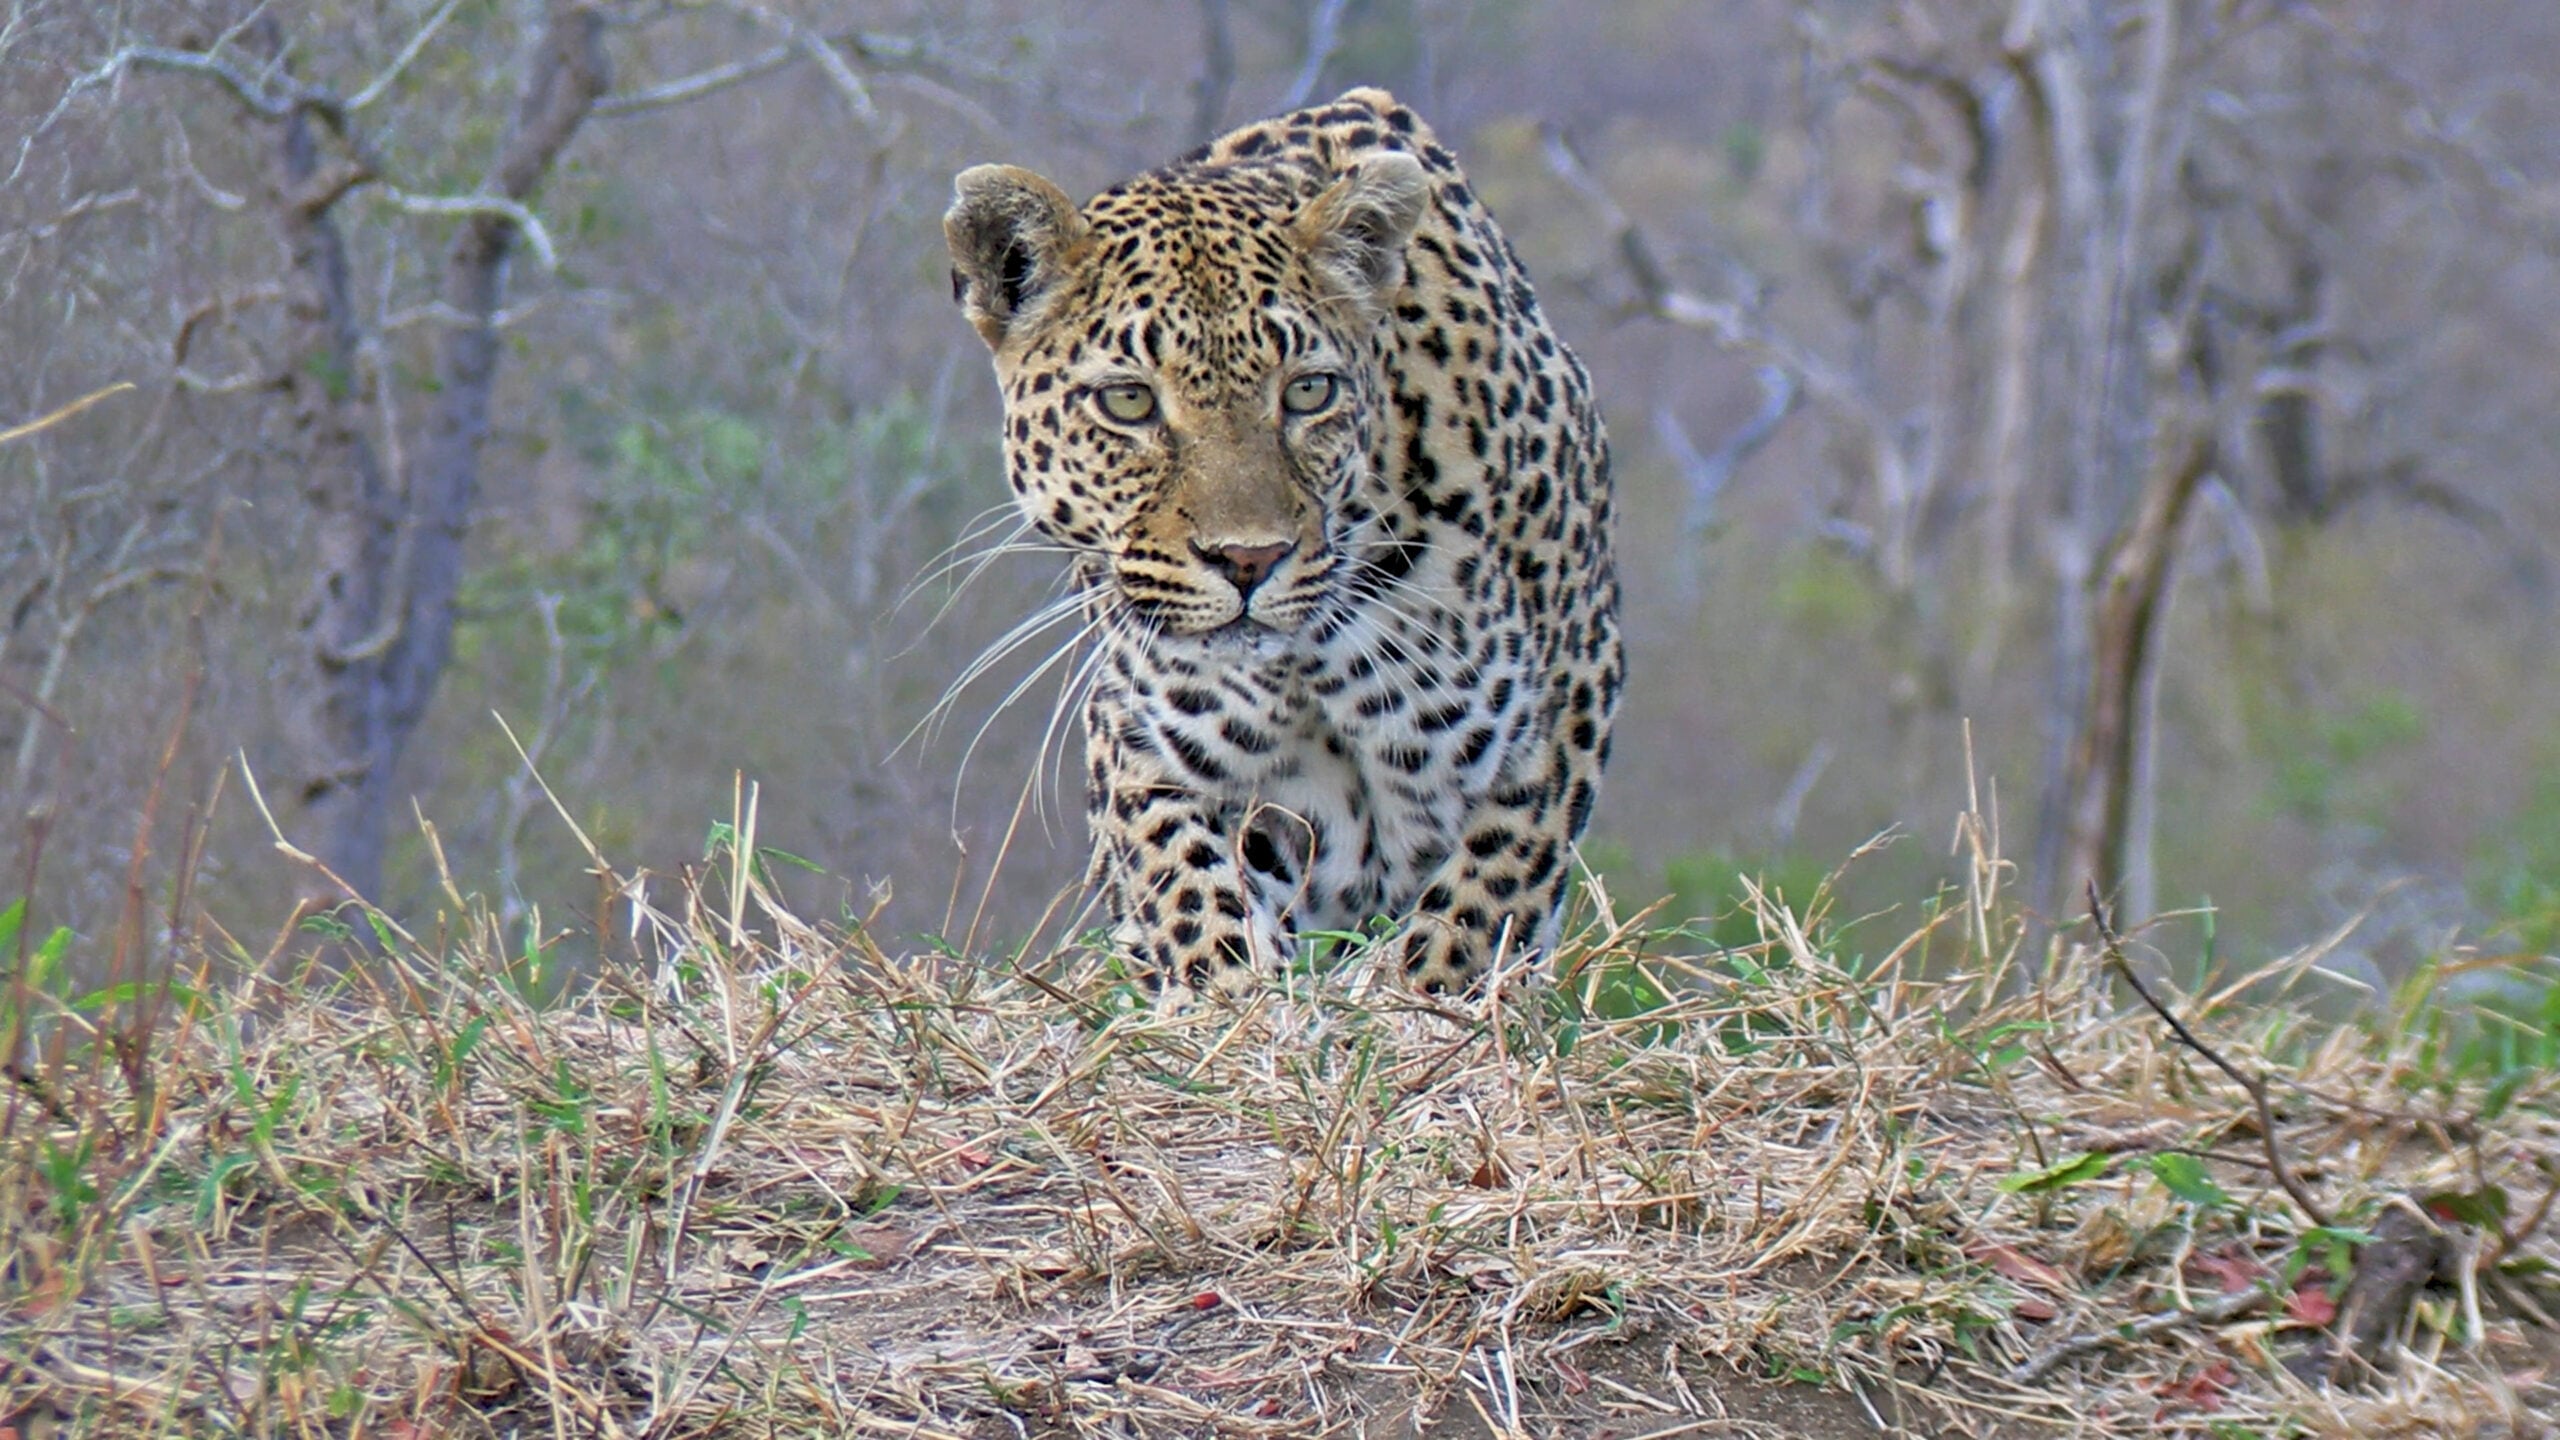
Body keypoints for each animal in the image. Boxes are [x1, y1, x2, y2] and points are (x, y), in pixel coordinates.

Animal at [942, 87, 1620, 1002]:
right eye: (1128, 401)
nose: (1248, 560)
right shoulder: (1140, 742)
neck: (1313, 661)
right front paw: (1234, 1006)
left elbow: (1482, 904)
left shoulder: (1562, 707)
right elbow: (1188, 892)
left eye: (1307, 392)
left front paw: (1428, 1005)